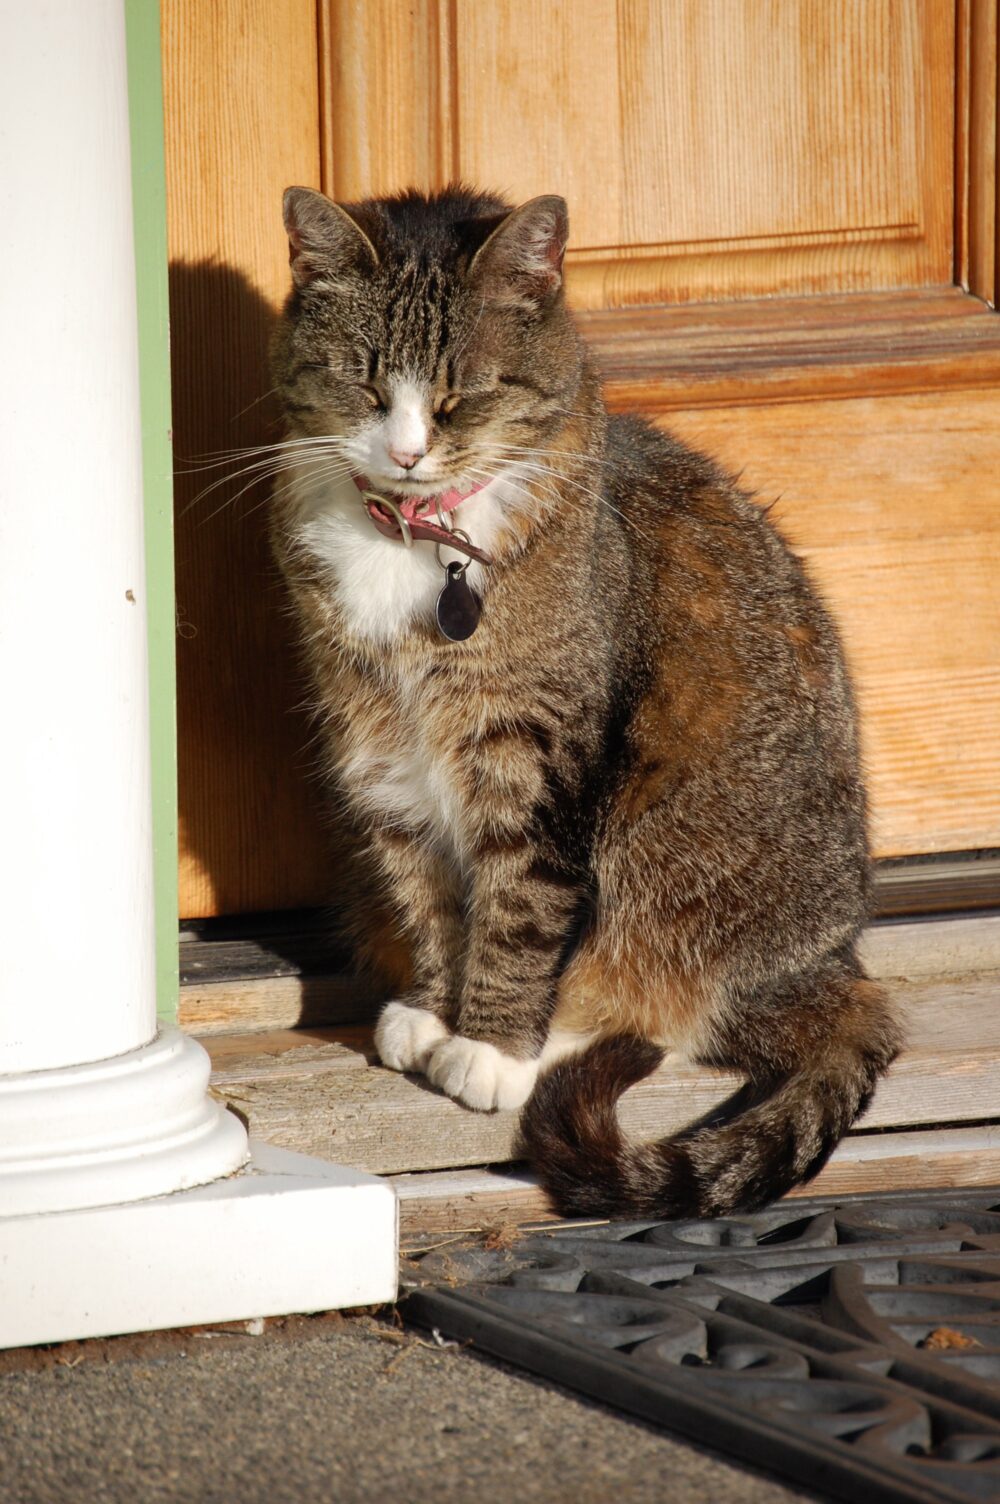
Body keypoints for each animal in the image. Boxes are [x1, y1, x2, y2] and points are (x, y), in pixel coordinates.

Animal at [269, 188, 902, 1221]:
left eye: (460, 396)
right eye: (362, 387)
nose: (405, 451)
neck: (416, 546)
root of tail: (833, 963)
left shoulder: (537, 755)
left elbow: (522, 903)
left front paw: (488, 1043)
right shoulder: (380, 749)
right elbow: (421, 886)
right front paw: (436, 1008)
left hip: (669, 862)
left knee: (660, 1001)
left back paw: (559, 1031)